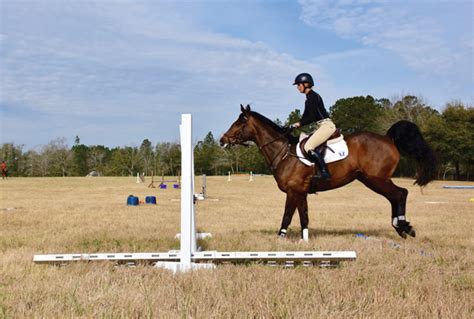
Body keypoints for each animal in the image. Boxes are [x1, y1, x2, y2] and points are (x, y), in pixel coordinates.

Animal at [221, 104, 436, 240]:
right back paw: (401, 227)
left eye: (239, 123)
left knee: (400, 193)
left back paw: (404, 227)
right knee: (395, 196)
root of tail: (388, 138)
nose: (223, 140)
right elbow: (304, 217)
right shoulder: (301, 192)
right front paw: (304, 241)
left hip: (376, 179)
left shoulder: (293, 191)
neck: (282, 152)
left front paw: (280, 238)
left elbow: (287, 215)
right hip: (373, 180)